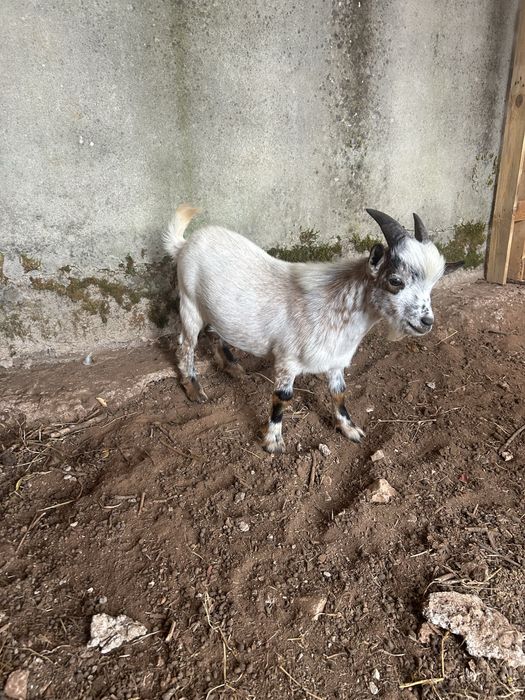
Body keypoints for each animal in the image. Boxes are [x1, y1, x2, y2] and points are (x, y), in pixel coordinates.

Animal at [163, 206, 462, 453]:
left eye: (433, 284)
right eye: (395, 280)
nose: (426, 322)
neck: (332, 306)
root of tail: (185, 243)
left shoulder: (336, 361)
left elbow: (339, 393)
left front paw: (350, 429)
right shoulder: (286, 360)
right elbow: (282, 398)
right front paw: (273, 441)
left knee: (214, 332)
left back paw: (232, 366)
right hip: (189, 303)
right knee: (186, 344)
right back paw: (193, 388)